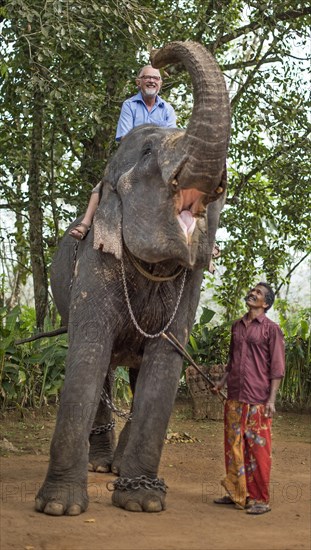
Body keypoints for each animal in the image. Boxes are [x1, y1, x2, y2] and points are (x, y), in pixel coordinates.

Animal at [36, 40, 232, 516]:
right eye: (146, 155)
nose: (157, 59)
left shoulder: (190, 284)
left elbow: (166, 361)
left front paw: (142, 502)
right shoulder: (95, 260)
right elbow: (88, 354)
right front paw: (60, 509)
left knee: (138, 368)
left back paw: (122, 469)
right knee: (105, 367)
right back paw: (101, 466)